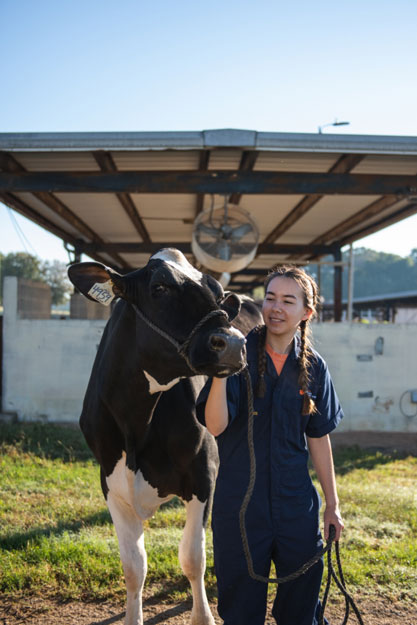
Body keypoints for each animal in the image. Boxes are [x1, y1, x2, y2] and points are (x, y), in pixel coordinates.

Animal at [67, 249, 260, 624]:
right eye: (159, 288)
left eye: (217, 294)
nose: (233, 344)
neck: (136, 426)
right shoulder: (111, 483)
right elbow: (133, 567)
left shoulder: (203, 475)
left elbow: (193, 558)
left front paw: (203, 616)